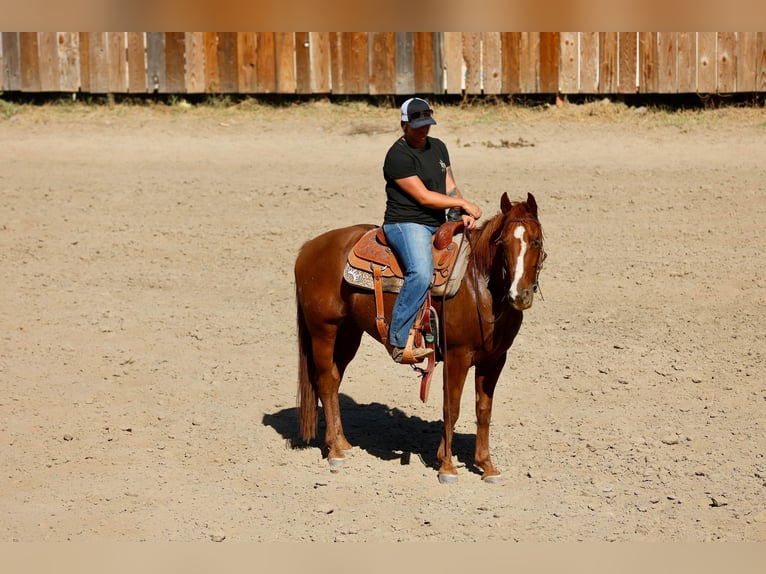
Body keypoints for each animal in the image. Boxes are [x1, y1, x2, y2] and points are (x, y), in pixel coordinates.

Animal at [294, 192, 545, 483]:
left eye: (536, 241)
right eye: (502, 243)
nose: (519, 295)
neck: (480, 287)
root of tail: (308, 248)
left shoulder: (494, 360)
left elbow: (484, 409)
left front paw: (487, 466)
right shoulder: (457, 356)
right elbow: (452, 407)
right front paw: (446, 466)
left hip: (348, 334)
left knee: (334, 381)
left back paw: (342, 443)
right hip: (324, 331)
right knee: (324, 382)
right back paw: (334, 452)